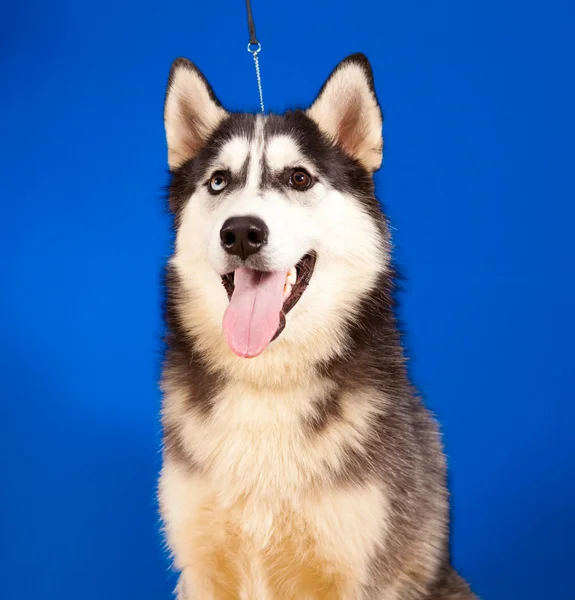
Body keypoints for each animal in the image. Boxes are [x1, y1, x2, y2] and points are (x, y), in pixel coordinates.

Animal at [158, 52, 476, 600]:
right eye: (218, 181)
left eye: (299, 179)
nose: (241, 232)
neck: (266, 382)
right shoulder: (202, 568)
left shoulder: (354, 570)